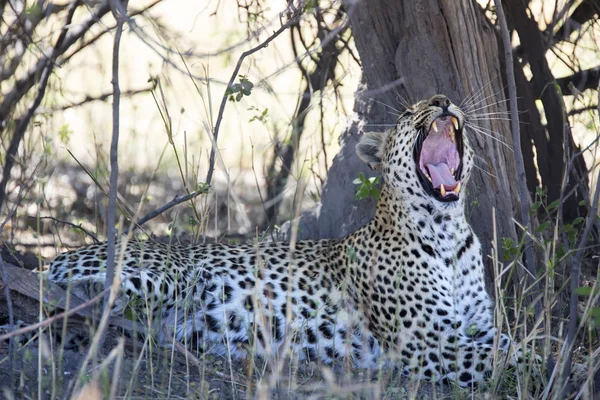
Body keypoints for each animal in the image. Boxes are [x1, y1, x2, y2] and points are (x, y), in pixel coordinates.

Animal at [44, 94, 528, 388]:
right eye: (411, 113)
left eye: (440, 99)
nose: (442, 100)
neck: (448, 232)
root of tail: (56, 257)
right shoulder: (428, 343)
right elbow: (507, 357)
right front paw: (533, 367)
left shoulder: (477, 326)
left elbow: (513, 342)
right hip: (166, 275)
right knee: (78, 301)